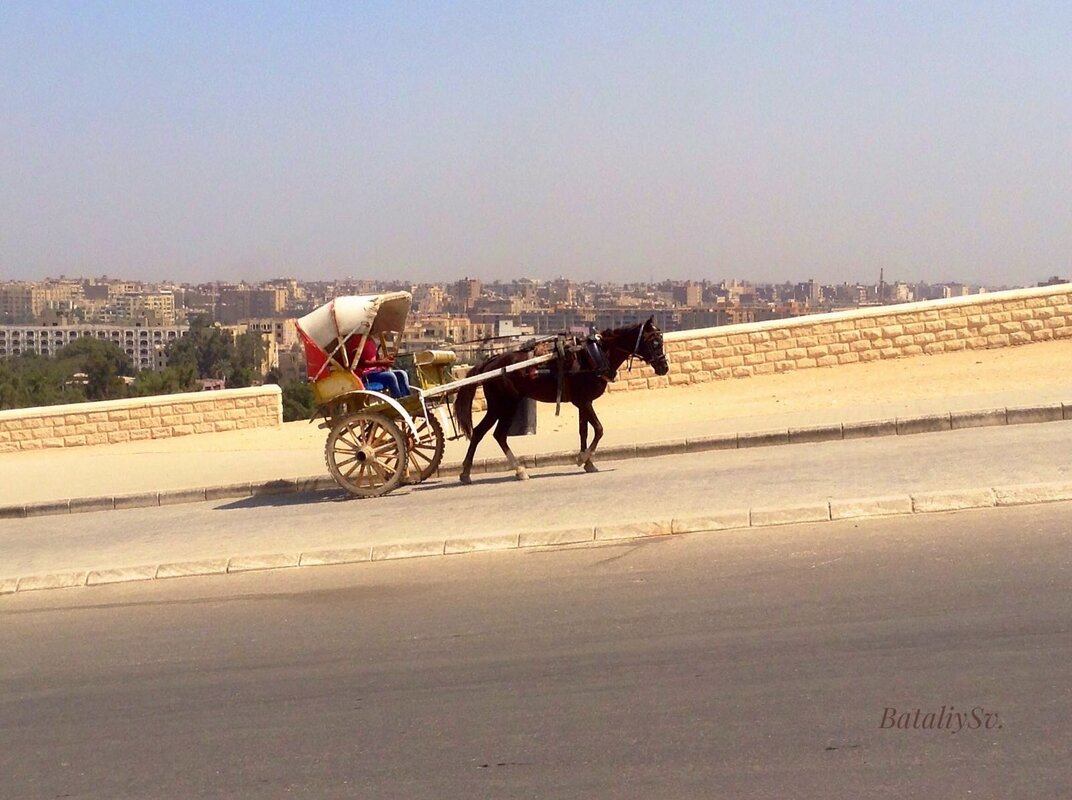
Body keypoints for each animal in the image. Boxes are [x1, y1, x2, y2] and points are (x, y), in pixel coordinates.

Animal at [452, 315, 668, 480]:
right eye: (654, 342)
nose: (664, 367)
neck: (594, 356)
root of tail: (491, 362)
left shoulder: (582, 402)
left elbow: (584, 431)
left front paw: (588, 462)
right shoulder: (584, 401)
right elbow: (598, 429)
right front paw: (582, 459)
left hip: (503, 405)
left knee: (488, 433)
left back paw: (479, 472)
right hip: (503, 404)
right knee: (490, 433)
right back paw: (507, 471)